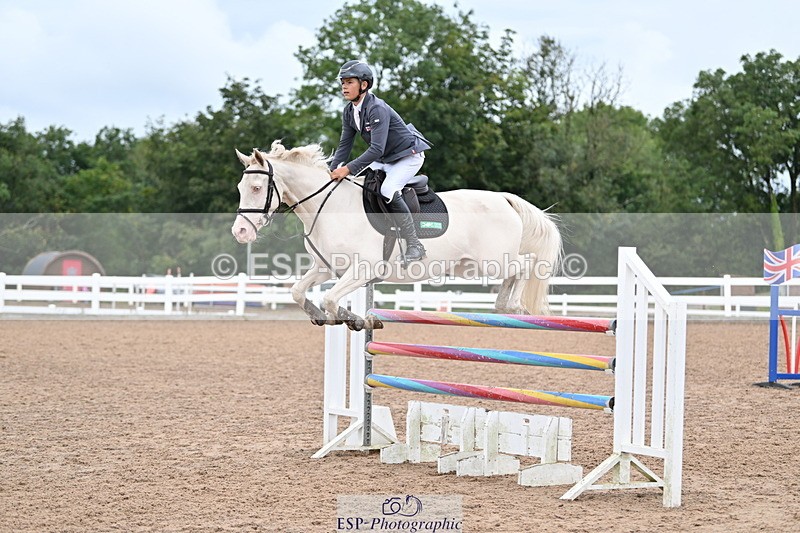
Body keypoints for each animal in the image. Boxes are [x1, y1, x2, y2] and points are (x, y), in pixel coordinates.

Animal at [231, 141, 562, 331]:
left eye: (257, 188)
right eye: (240, 188)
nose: (241, 232)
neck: (330, 206)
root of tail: (505, 198)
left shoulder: (362, 269)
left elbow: (330, 297)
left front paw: (355, 320)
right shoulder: (325, 267)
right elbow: (300, 292)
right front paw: (332, 316)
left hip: (492, 261)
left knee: (524, 265)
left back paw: (513, 306)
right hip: (472, 266)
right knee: (515, 271)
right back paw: (503, 306)